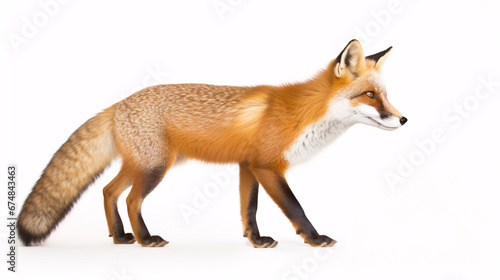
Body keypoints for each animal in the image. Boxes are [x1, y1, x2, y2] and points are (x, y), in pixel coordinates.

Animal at [17, 40, 406, 247]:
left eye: (385, 95)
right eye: (370, 96)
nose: (403, 120)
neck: (304, 114)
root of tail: (117, 104)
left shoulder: (249, 166)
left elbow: (249, 209)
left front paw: (255, 241)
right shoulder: (268, 166)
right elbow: (296, 208)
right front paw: (314, 238)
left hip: (141, 164)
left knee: (108, 191)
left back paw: (121, 237)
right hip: (154, 167)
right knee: (130, 199)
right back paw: (145, 239)